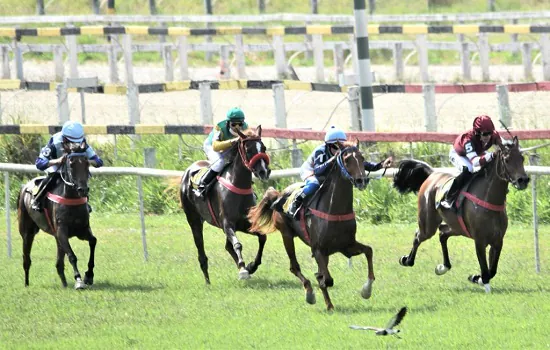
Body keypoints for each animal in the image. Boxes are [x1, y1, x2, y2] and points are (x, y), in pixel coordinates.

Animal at [17, 145, 96, 290]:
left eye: (87, 163)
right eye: (71, 164)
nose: (83, 190)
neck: (71, 198)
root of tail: (25, 186)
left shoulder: (82, 230)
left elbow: (93, 241)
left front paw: (89, 275)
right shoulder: (62, 231)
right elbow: (72, 256)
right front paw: (78, 280)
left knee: (59, 263)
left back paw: (64, 284)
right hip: (27, 232)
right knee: (26, 258)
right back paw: (26, 283)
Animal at [180, 127, 272, 284]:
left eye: (264, 148)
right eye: (248, 149)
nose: (264, 171)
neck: (238, 185)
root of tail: (189, 169)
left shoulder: (245, 224)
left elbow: (262, 238)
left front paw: (251, 266)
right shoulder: (227, 224)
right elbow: (237, 244)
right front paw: (244, 268)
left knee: (228, 246)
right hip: (194, 220)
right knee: (201, 249)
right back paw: (208, 280)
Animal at [249, 141, 376, 310]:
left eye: (362, 158)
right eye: (347, 159)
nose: (362, 180)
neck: (335, 209)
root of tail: (279, 195)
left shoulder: (346, 246)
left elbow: (369, 251)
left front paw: (366, 290)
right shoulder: (318, 249)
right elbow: (327, 279)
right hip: (287, 235)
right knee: (294, 267)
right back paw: (310, 293)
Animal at [392, 137, 532, 292]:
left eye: (521, 158)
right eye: (507, 160)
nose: (523, 180)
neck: (489, 199)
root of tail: (432, 174)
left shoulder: (497, 240)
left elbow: (492, 270)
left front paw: (476, 278)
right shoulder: (479, 240)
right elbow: (485, 270)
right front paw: (482, 282)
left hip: (457, 227)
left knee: (443, 233)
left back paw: (443, 267)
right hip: (428, 224)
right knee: (419, 236)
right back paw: (407, 260)